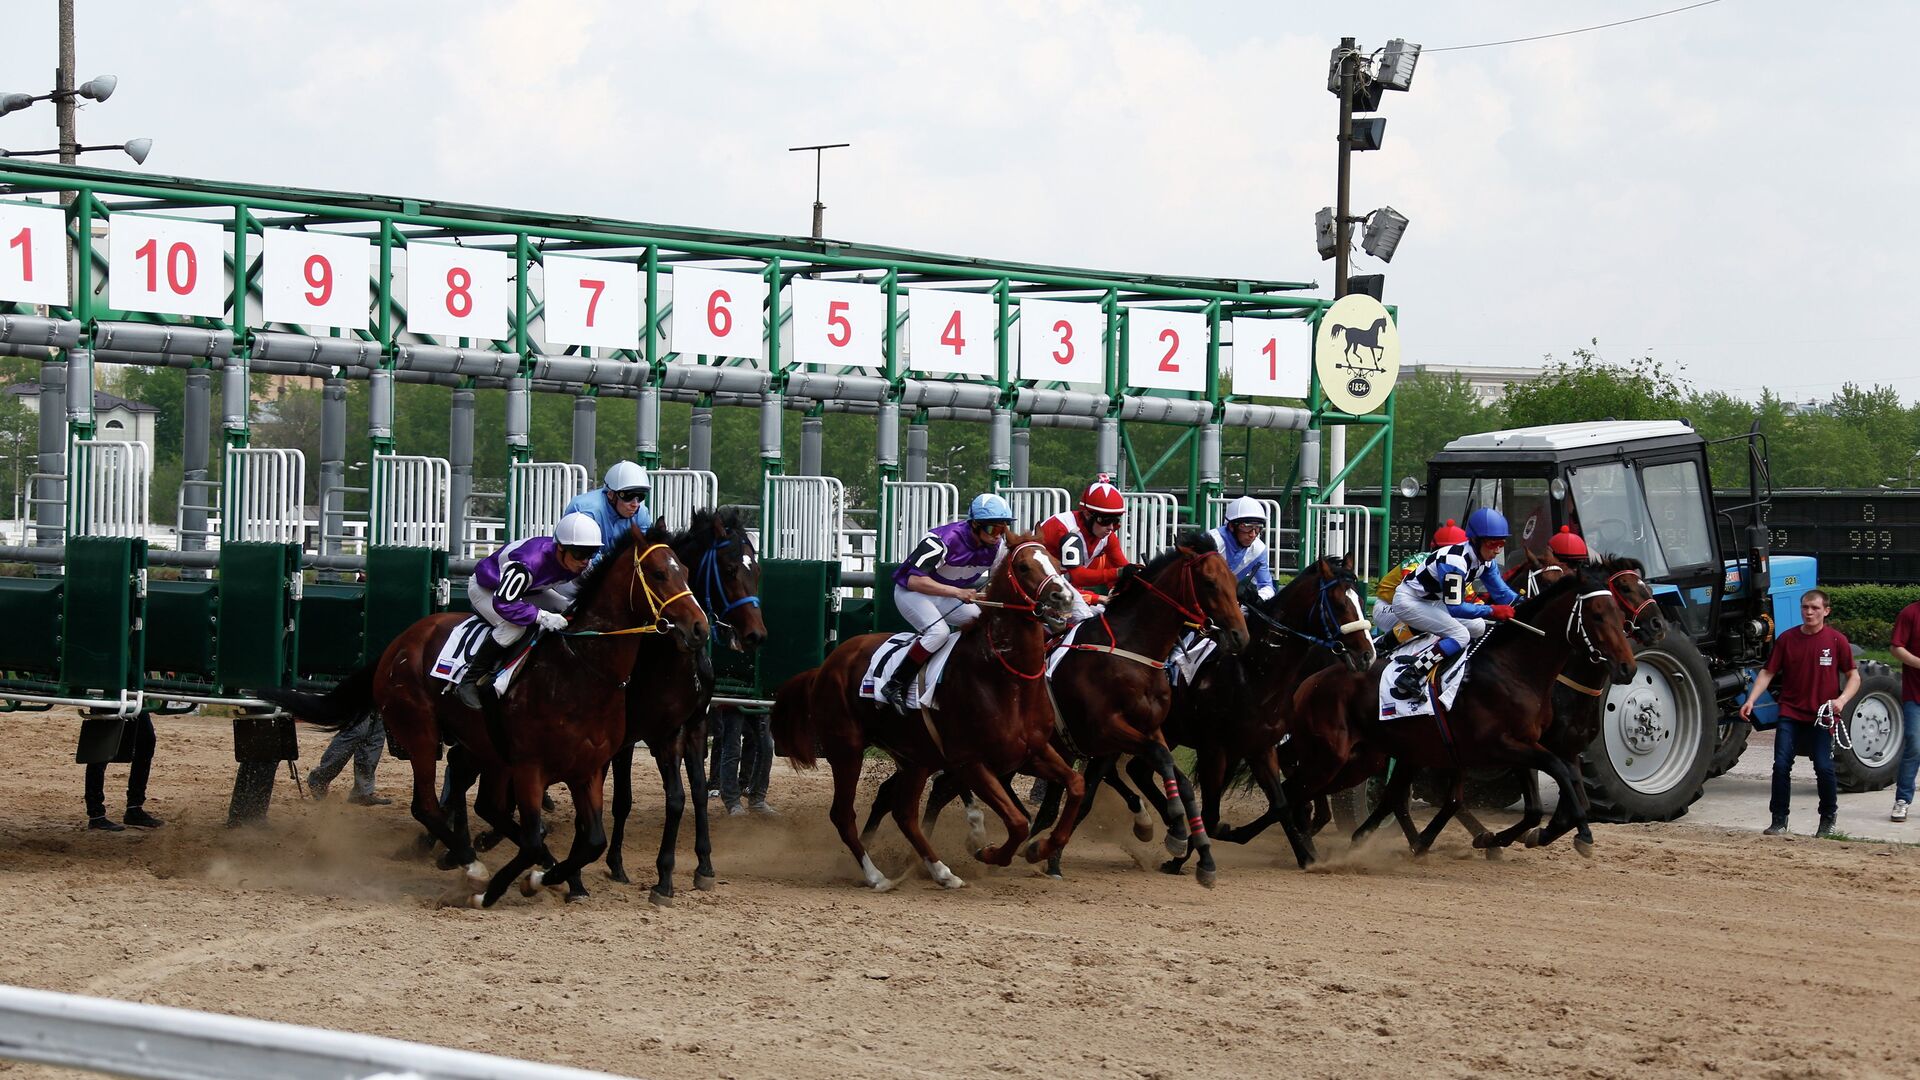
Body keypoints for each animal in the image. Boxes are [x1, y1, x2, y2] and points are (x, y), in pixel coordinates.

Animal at [259, 518, 702, 903]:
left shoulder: (587, 769)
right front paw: (495, 890)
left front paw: (550, 878)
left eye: (686, 571)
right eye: (659, 574)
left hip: (483, 746)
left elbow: (590, 841)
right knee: (427, 805)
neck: (580, 670)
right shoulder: (530, 768)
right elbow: (532, 838)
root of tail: (396, 645)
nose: (699, 627)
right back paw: (472, 866)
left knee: (487, 805)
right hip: (421, 733)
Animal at [610, 503, 768, 899]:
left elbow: (695, 792)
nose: (756, 635)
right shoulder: (647, 734)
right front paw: (650, 872)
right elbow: (645, 799)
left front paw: (704, 865)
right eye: (730, 570)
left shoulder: (694, 727)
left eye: (756, 570)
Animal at [771, 534, 1090, 887]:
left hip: (913, 758)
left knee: (904, 814)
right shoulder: (971, 762)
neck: (1004, 679)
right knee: (843, 813)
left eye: (1058, 563)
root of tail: (824, 666)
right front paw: (987, 851)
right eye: (1023, 566)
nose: (1064, 596)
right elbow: (1018, 822)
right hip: (847, 749)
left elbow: (1076, 786)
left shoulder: (1031, 751)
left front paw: (1040, 848)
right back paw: (876, 876)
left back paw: (941, 872)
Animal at [1290, 564, 1635, 857]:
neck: (1514, 668)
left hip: (1400, 749)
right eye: (1597, 615)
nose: (1628, 668)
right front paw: (1580, 835)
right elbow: (1558, 774)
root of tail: (1315, 677)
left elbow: (1544, 803)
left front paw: (1509, 837)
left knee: (1393, 796)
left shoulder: (1526, 743)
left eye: (1619, 615)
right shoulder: (1502, 745)